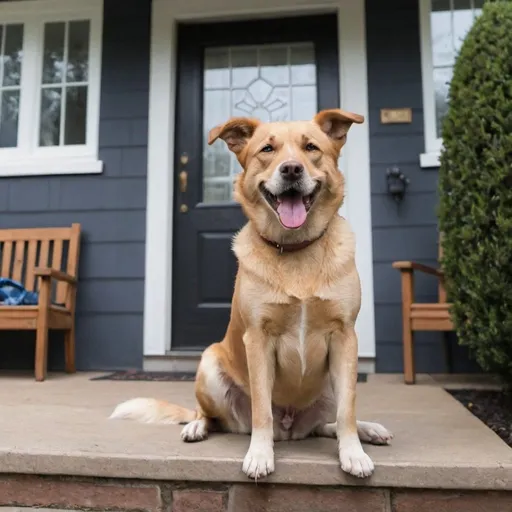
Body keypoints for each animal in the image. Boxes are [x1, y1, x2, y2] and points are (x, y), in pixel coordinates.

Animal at [111, 109, 392, 480]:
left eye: (311, 148)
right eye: (267, 149)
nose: (291, 169)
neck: (295, 248)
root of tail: (290, 430)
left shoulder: (345, 337)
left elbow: (348, 409)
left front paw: (354, 454)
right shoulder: (258, 339)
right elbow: (262, 408)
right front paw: (260, 454)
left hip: (328, 383)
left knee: (327, 424)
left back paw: (369, 429)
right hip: (209, 365)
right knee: (212, 417)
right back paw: (198, 427)